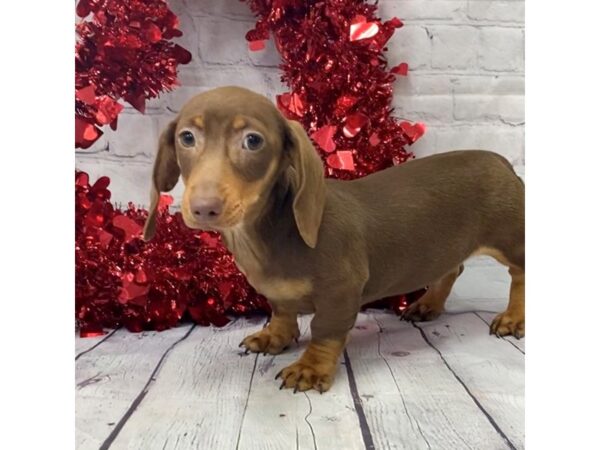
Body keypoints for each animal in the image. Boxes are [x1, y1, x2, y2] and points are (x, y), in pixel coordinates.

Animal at [143, 86, 524, 392]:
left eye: (253, 140)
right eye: (187, 137)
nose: (203, 208)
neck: (269, 232)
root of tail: (500, 161)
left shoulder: (341, 290)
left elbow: (325, 329)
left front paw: (310, 369)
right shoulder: (279, 294)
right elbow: (282, 310)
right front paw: (274, 336)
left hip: (511, 239)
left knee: (520, 275)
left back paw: (513, 318)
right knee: (452, 269)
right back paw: (428, 304)